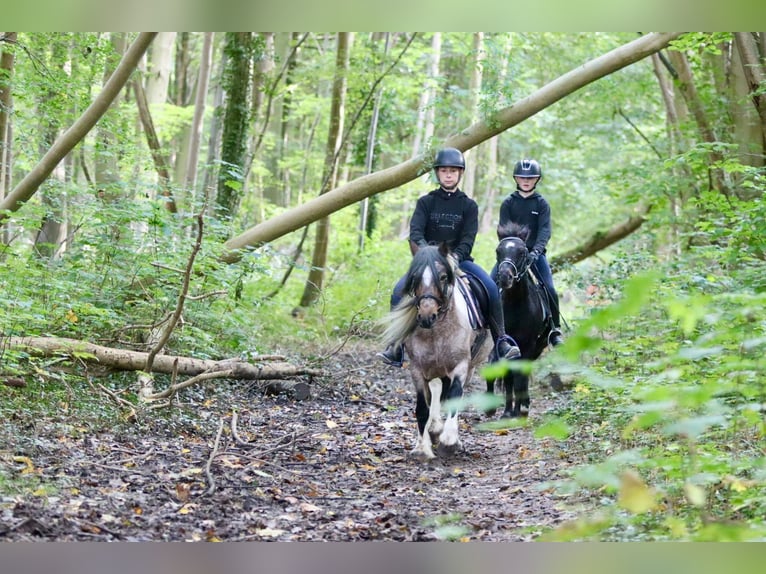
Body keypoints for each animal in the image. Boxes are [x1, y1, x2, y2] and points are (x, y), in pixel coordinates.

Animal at [488, 222, 556, 418]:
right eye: (498, 251)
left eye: (522, 252)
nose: (505, 277)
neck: (515, 305)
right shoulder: (504, 342)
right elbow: (507, 374)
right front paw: (507, 411)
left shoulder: (528, 343)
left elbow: (519, 375)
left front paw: (518, 410)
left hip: (539, 345)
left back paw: (524, 404)